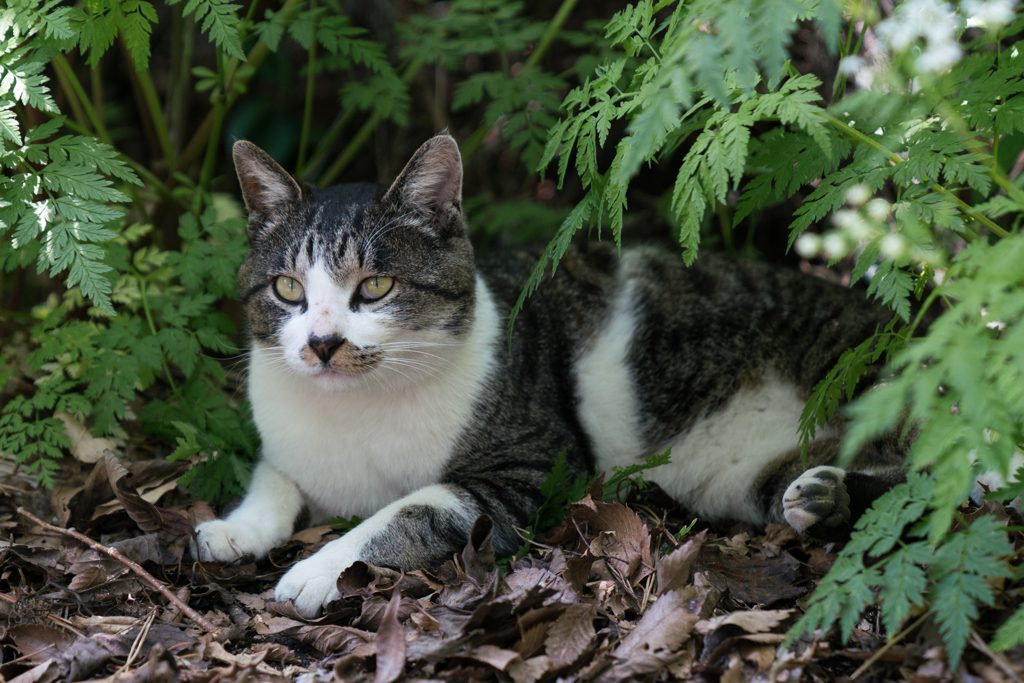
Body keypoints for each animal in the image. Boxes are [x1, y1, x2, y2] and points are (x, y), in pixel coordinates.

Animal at [195, 133, 909, 618]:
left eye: (375, 287)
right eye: (288, 288)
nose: (321, 344)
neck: (353, 414)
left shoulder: (536, 467)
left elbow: (410, 509)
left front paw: (314, 571)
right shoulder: (290, 451)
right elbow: (272, 478)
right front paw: (235, 529)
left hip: (857, 369)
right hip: (751, 475)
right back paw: (824, 497)